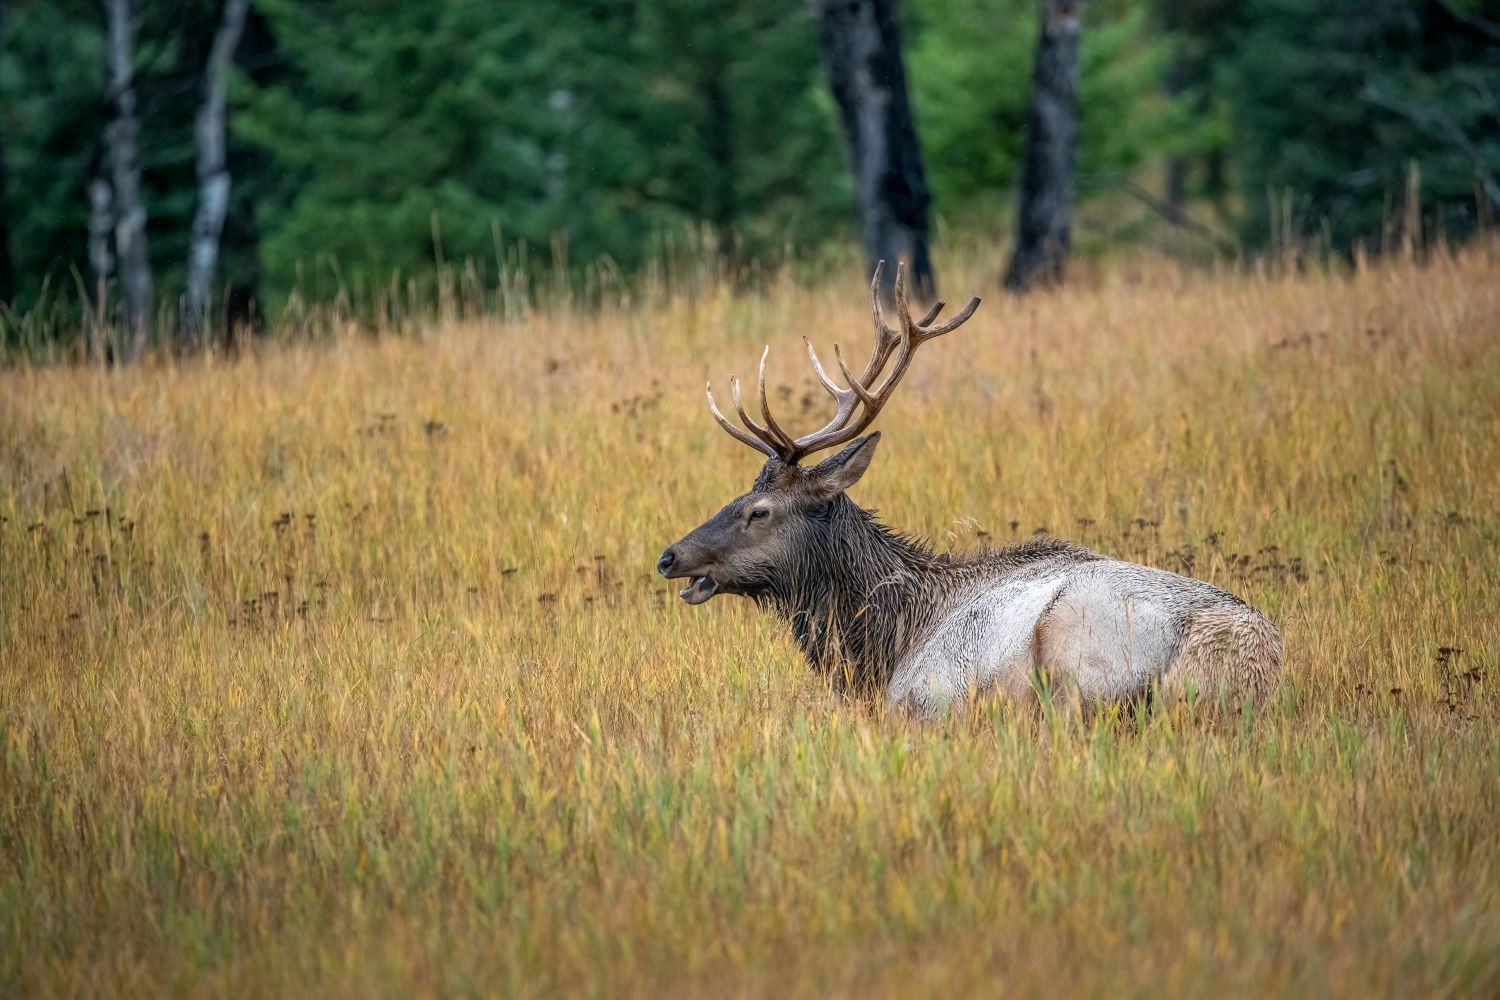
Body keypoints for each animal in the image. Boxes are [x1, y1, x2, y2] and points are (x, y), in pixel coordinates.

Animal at [663, 263, 1284, 719]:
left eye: (758, 511)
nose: (669, 556)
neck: (887, 645)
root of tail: (1256, 667)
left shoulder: (922, 697)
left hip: (1077, 652)